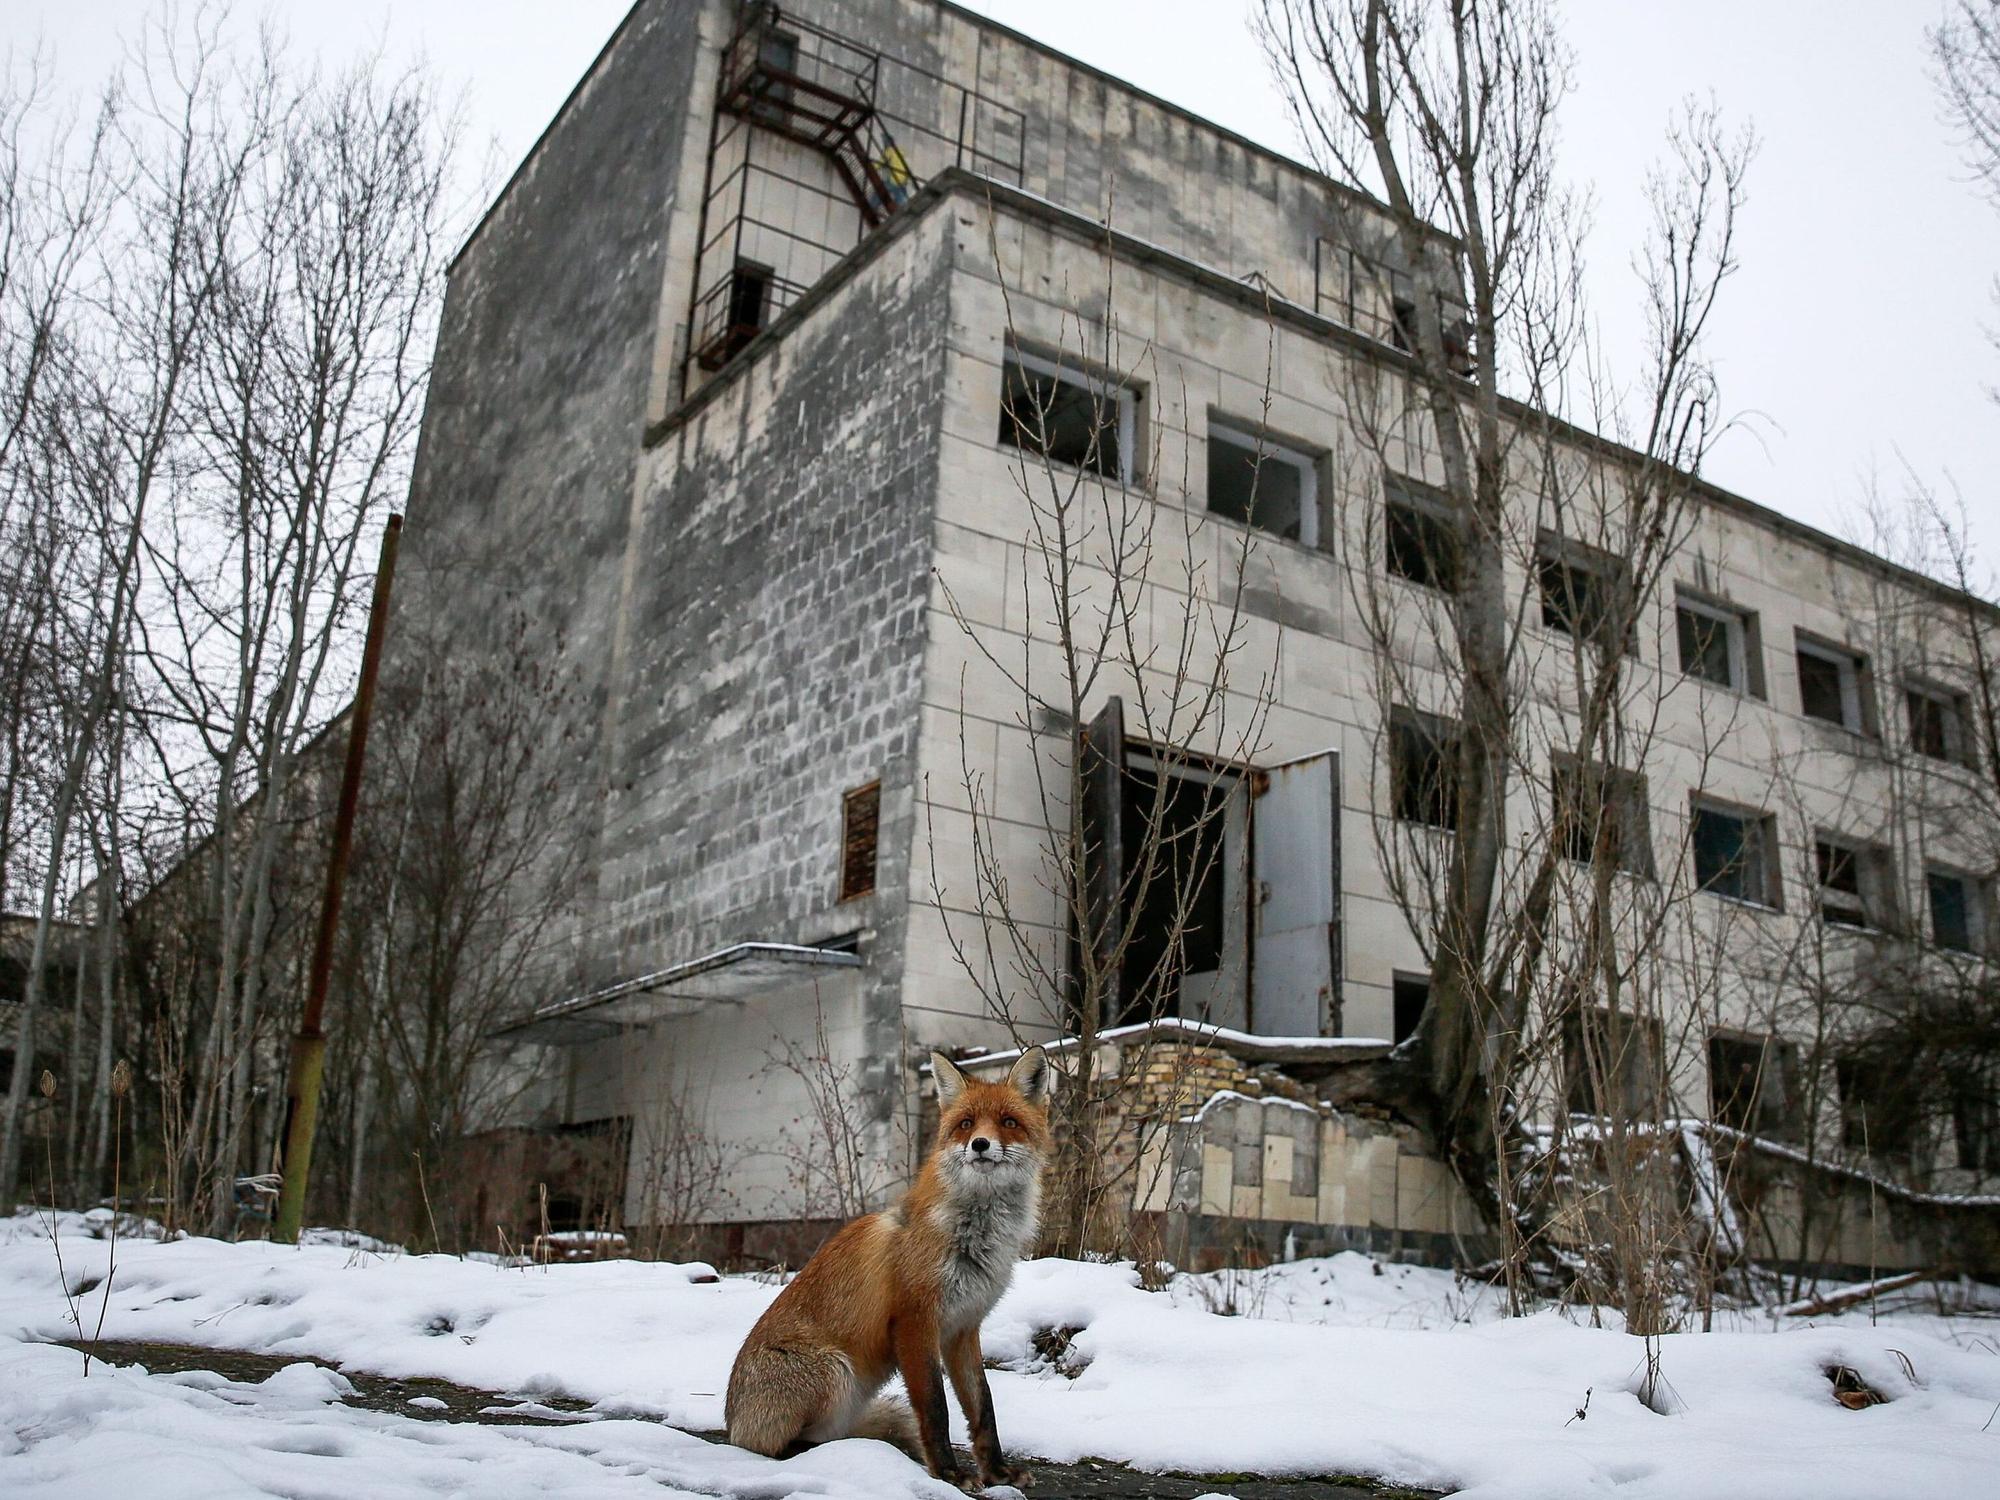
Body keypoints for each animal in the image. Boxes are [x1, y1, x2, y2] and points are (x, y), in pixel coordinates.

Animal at [725, 1045, 1052, 1493]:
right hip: (835, 1371)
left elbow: (983, 1406)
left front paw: (999, 1472)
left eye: (1008, 1122)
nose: (981, 1144)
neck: (972, 1236)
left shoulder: (964, 1327)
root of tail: (730, 1423)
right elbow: (935, 1407)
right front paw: (949, 1474)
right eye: (966, 1123)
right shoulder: (914, 1322)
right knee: (777, 1446)